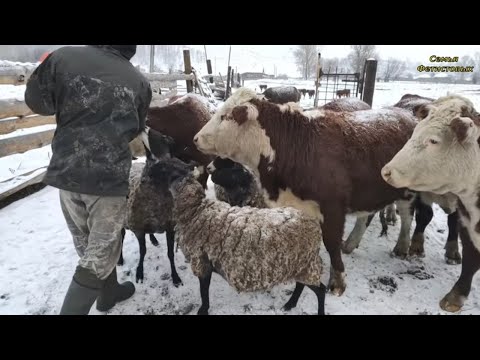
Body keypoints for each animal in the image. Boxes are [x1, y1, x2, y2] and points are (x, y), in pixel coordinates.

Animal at [193, 88, 418, 296]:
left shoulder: (332, 208)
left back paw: (402, 246)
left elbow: (331, 244)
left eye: (224, 116)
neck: (297, 145)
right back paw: (351, 243)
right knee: (367, 215)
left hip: (406, 190)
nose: (195, 138)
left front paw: (337, 281)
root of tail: (407, 114)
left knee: (407, 216)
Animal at [380, 95, 478, 312]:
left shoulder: (461, 208)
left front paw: (452, 251)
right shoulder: (424, 194)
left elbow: (453, 224)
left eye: (433, 140)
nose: (387, 171)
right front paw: (416, 246)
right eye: (414, 132)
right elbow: (425, 216)